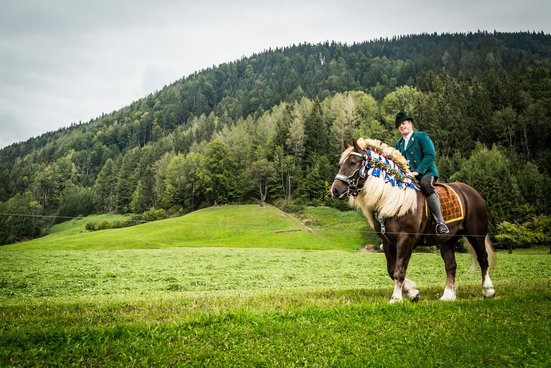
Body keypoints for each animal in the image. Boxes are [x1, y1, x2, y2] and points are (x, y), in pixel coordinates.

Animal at [330, 137, 498, 304]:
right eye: (340, 164)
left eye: (353, 163)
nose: (335, 190)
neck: (392, 199)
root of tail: (472, 191)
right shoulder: (388, 242)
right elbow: (391, 270)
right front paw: (412, 292)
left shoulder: (406, 239)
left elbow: (399, 270)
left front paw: (396, 297)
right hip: (447, 239)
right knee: (451, 265)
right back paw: (448, 295)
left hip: (476, 234)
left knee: (483, 259)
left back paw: (488, 290)